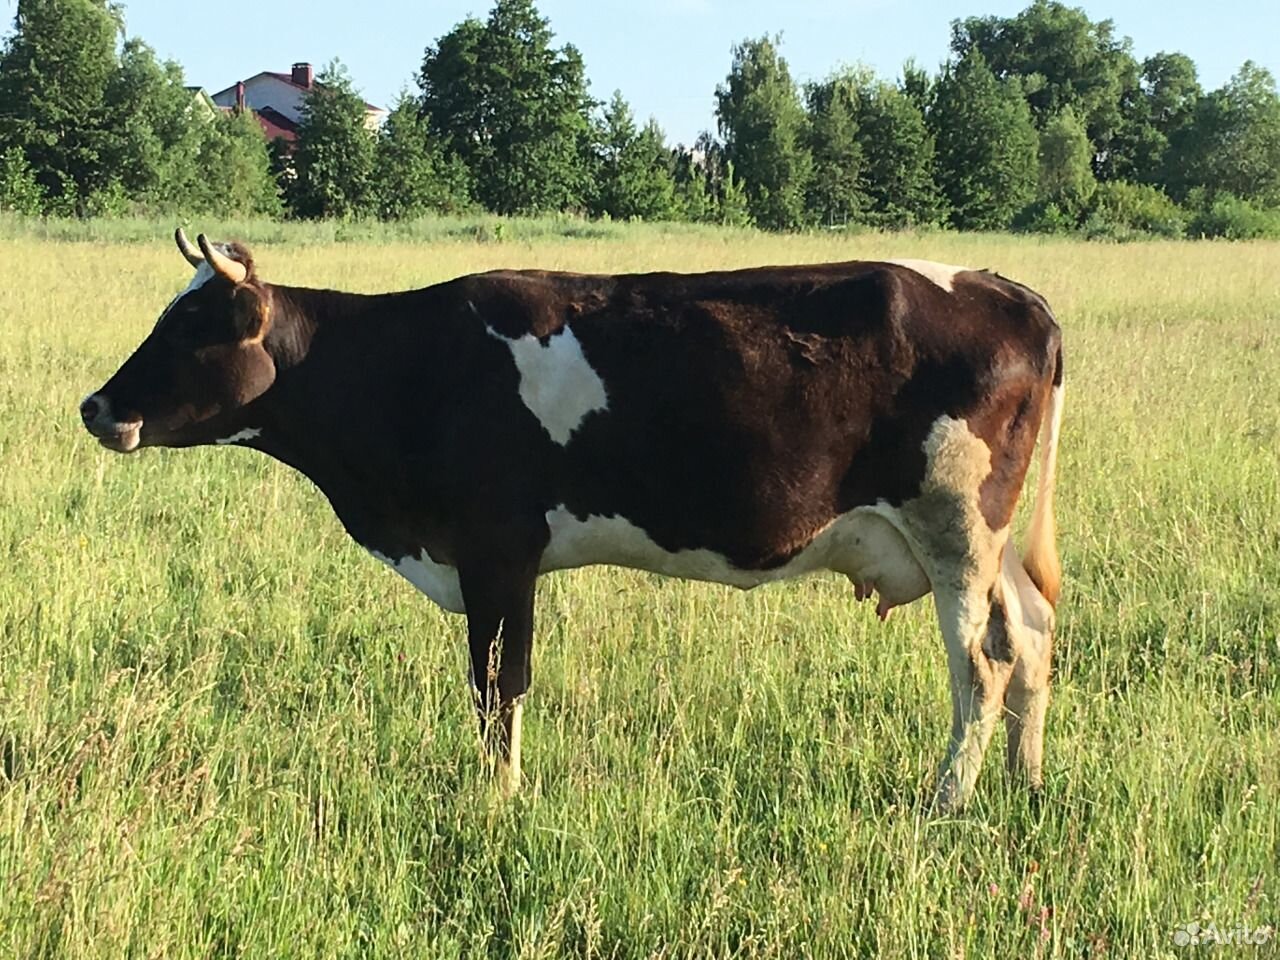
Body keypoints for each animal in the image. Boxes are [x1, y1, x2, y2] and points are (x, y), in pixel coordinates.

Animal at [80, 231, 1059, 814]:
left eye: (192, 327)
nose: (96, 407)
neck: (406, 369)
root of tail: (1005, 289)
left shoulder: (496, 553)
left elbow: (496, 688)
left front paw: (499, 801)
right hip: (985, 543)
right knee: (1032, 636)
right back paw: (1026, 780)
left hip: (955, 528)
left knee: (980, 667)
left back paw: (946, 802)